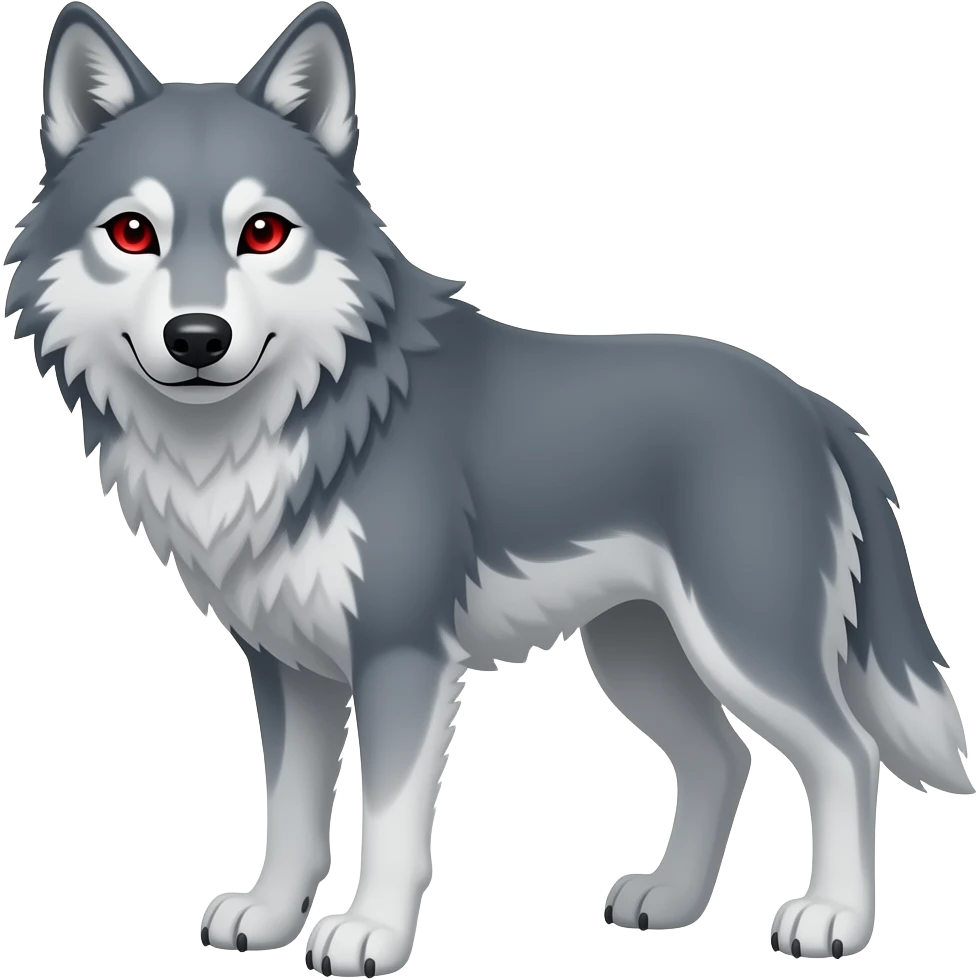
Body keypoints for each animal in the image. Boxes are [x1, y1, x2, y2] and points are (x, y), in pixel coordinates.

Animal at [4, 1, 973, 974]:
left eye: (264, 233)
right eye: (133, 233)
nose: (198, 337)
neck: (301, 419)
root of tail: (812, 404)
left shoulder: (401, 654)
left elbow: (390, 819)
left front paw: (369, 934)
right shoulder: (287, 666)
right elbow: (291, 813)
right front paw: (272, 918)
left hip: (741, 643)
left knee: (847, 754)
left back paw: (832, 918)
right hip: (639, 654)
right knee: (722, 760)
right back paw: (669, 901)